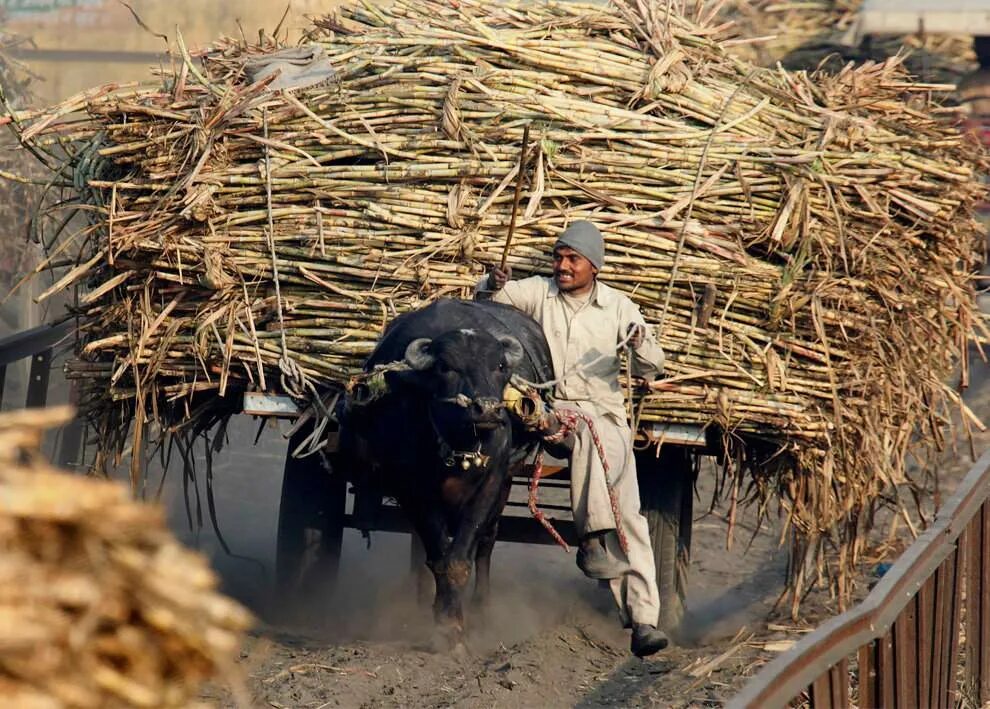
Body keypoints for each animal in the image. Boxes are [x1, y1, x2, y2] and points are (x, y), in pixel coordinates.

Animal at [336, 298, 556, 648]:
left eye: (500, 367)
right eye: (446, 367)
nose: (487, 409)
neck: (458, 439)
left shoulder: (491, 483)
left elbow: (461, 558)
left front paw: (456, 623)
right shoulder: (412, 489)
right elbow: (438, 556)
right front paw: (445, 622)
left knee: (487, 542)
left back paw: (481, 606)